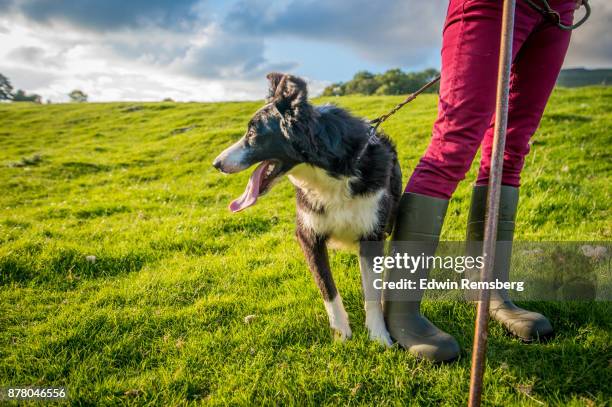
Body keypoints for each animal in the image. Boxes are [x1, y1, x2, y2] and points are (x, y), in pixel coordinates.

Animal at [213, 72, 404, 344]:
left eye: (253, 132)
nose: (216, 163)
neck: (329, 176)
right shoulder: (308, 235)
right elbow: (327, 288)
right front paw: (342, 336)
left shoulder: (372, 233)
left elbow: (371, 292)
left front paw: (379, 337)